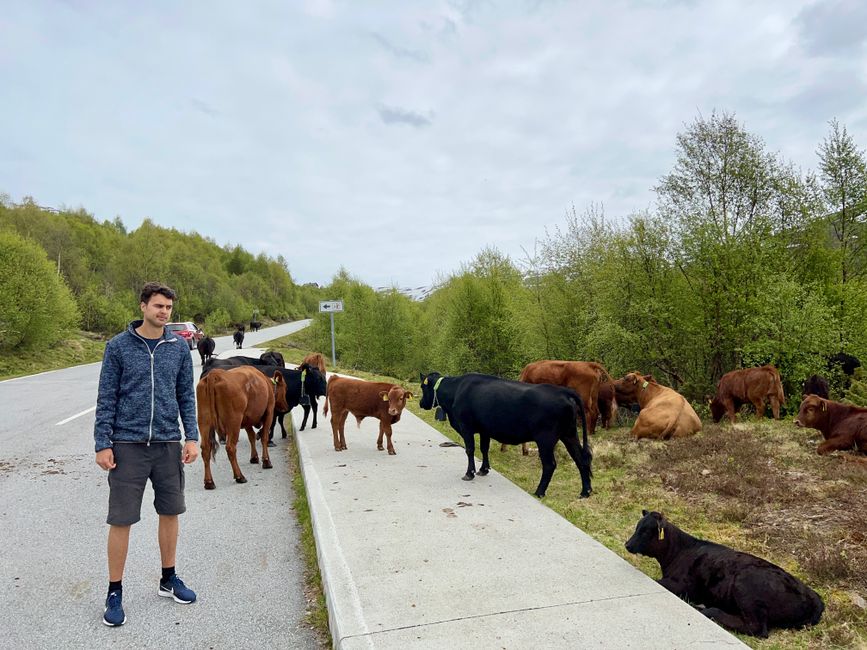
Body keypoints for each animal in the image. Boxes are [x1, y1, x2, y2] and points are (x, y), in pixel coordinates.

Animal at [418, 370, 592, 496]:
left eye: (422, 387)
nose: (420, 403)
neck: (456, 391)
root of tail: (564, 392)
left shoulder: (466, 426)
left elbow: (470, 450)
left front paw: (469, 473)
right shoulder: (485, 430)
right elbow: (484, 449)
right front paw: (484, 470)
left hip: (546, 439)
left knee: (550, 464)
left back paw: (539, 492)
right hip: (569, 434)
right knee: (581, 459)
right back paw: (585, 491)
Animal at [628, 508, 824, 636]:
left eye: (645, 531)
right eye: (637, 527)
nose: (627, 545)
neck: (678, 552)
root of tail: (815, 597)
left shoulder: (682, 586)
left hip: (746, 585)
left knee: (757, 628)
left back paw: (707, 610)